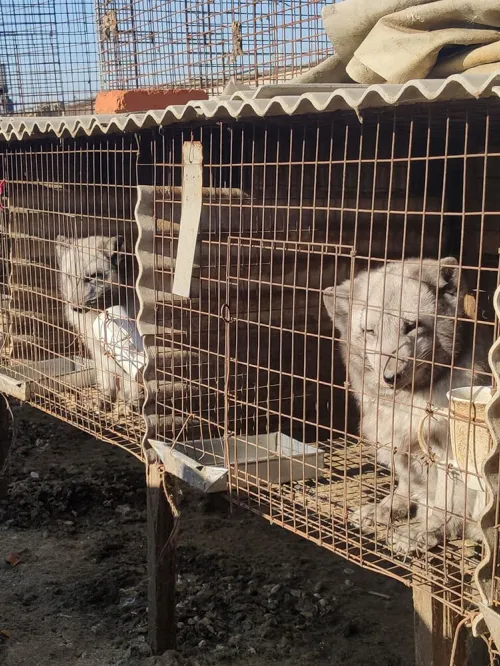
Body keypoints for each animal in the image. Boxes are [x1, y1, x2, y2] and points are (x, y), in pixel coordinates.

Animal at [55, 236, 142, 408]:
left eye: (94, 276)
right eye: (69, 277)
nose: (75, 308)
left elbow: (133, 380)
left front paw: (134, 401)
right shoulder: (96, 347)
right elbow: (106, 376)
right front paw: (106, 397)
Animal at [322, 256, 490, 552]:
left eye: (411, 326)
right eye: (370, 331)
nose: (390, 377)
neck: (407, 403)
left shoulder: (451, 454)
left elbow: (445, 505)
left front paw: (425, 530)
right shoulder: (395, 442)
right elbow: (405, 484)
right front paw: (386, 507)